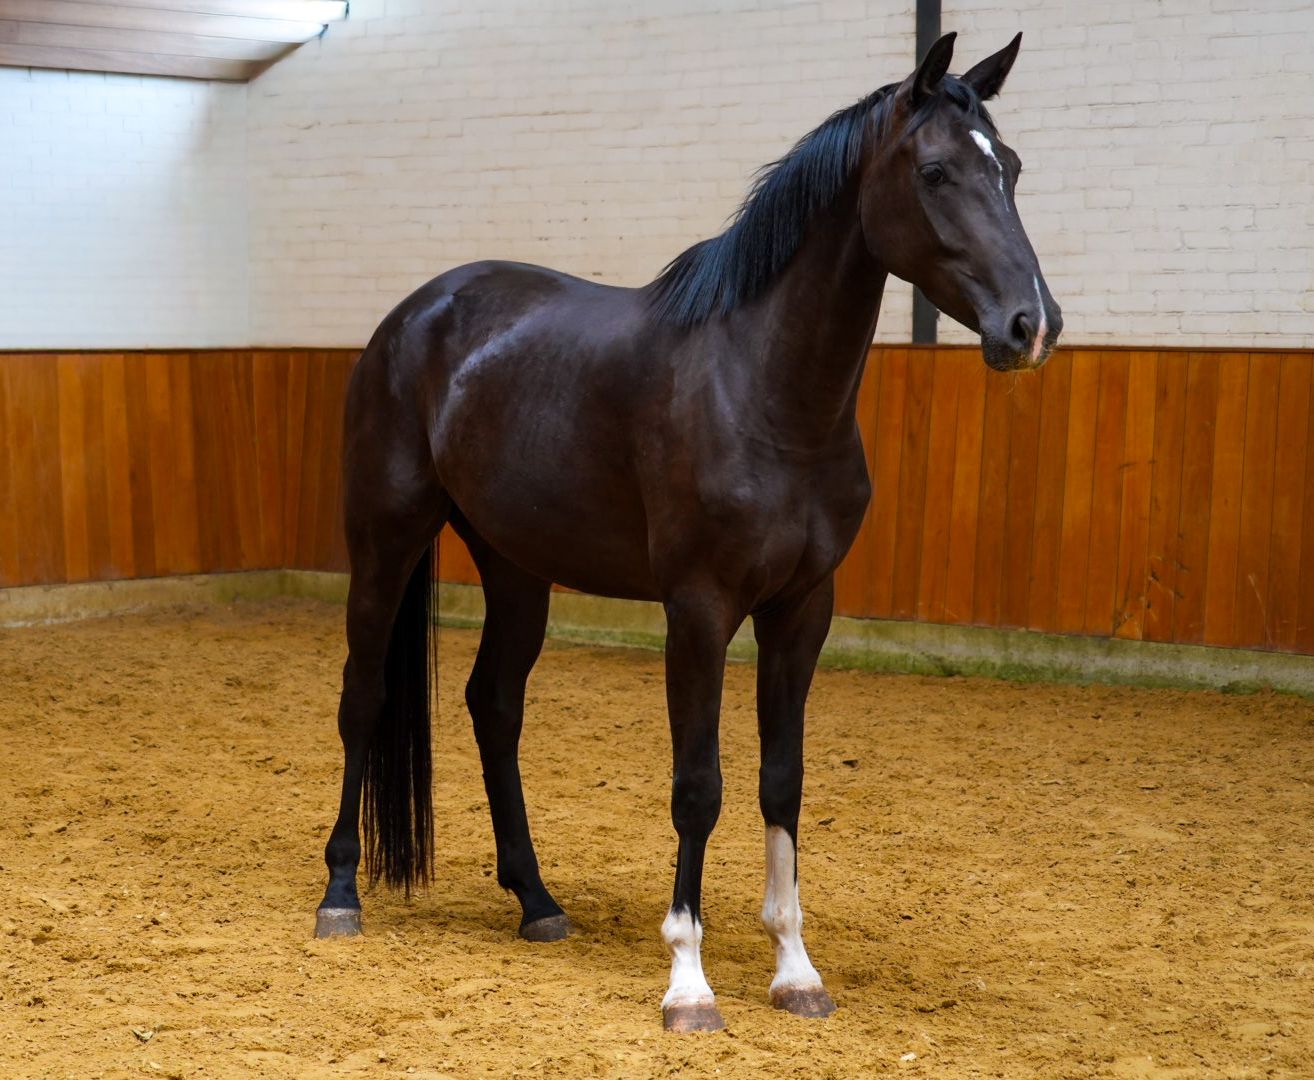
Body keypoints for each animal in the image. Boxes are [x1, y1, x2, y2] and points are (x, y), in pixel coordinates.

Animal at [313, 31, 1062, 1033]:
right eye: (937, 171)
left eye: (1008, 168)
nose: (1032, 326)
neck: (764, 390)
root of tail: (415, 314)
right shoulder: (699, 609)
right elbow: (698, 785)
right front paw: (689, 982)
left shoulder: (801, 609)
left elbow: (781, 779)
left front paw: (794, 970)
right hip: (386, 540)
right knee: (362, 697)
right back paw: (341, 894)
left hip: (516, 566)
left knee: (495, 706)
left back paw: (538, 902)